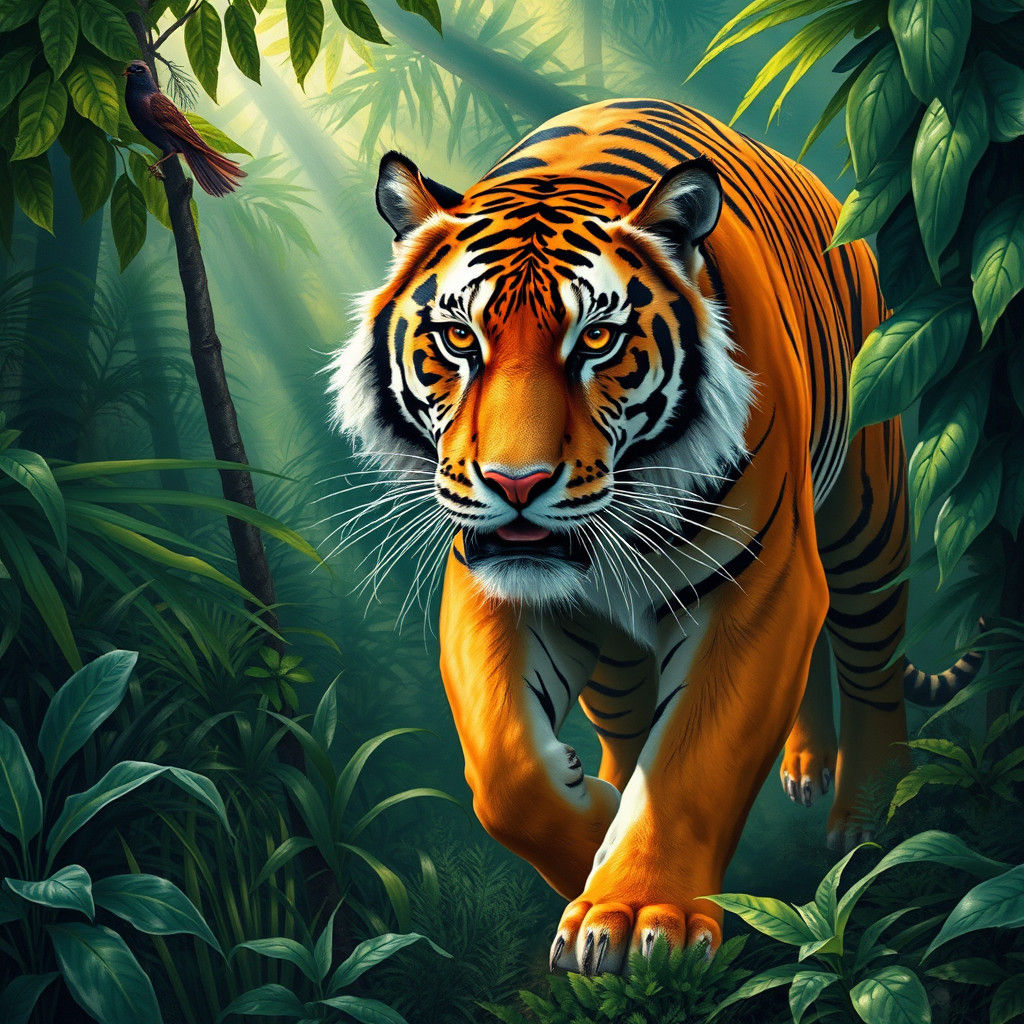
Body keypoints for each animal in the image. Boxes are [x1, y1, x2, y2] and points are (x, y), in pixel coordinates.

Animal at [328, 98, 981, 976]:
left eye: (596, 341)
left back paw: (871, 817)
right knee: (635, 712)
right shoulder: (491, 585)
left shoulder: (759, 585)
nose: (516, 484)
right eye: (460, 340)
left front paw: (635, 914)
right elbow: (505, 769)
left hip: (864, 506)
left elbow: (691, 762)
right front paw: (594, 824)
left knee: (870, 655)